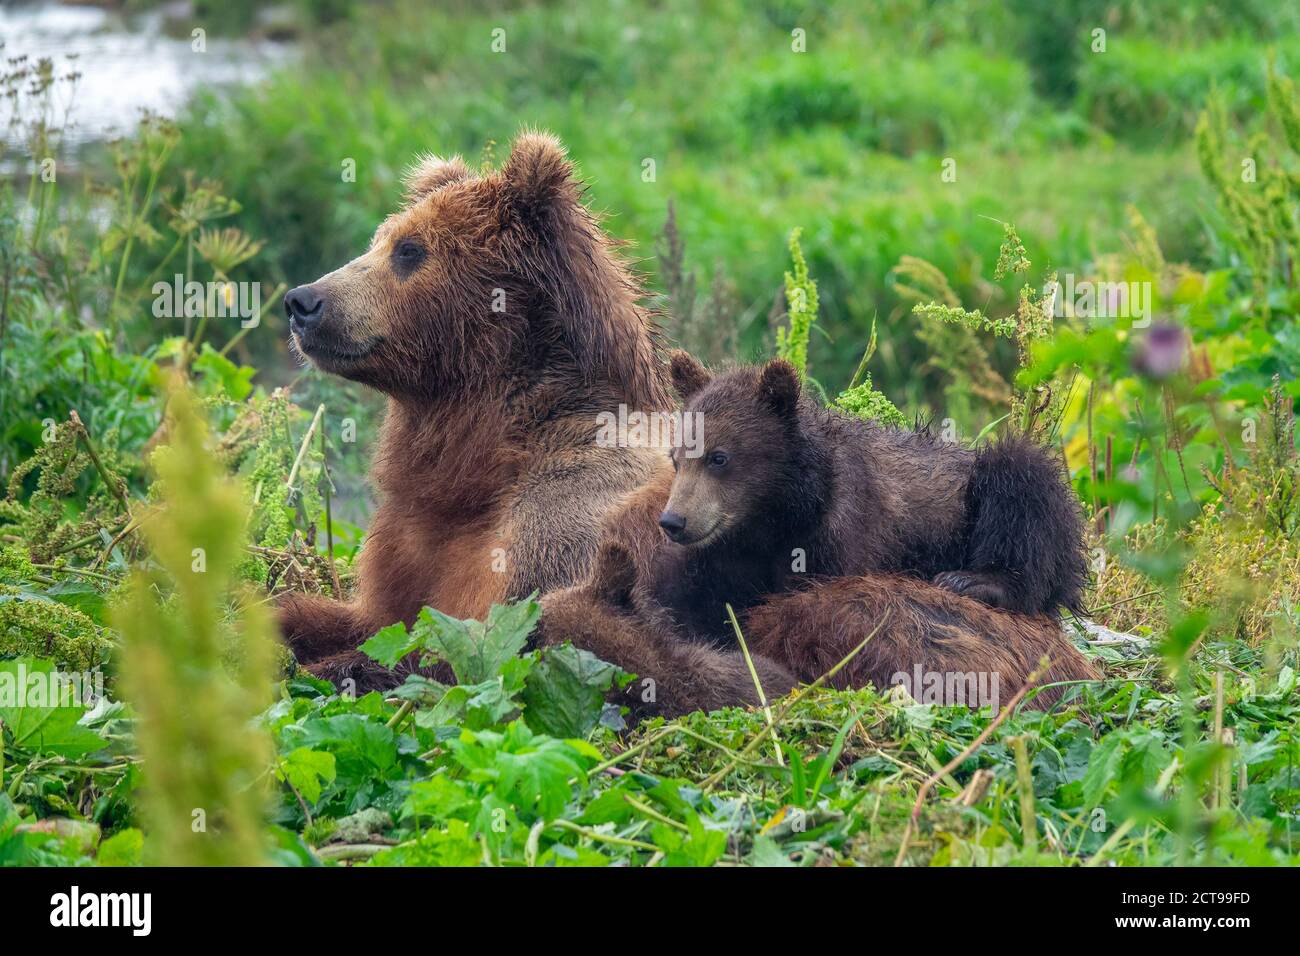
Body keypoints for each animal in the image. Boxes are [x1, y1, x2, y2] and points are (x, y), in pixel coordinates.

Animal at [280, 134, 676, 686]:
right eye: (379, 240)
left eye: (409, 249)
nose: (302, 301)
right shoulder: (411, 539)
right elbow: (376, 616)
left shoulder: (561, 523)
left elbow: (462, 654)